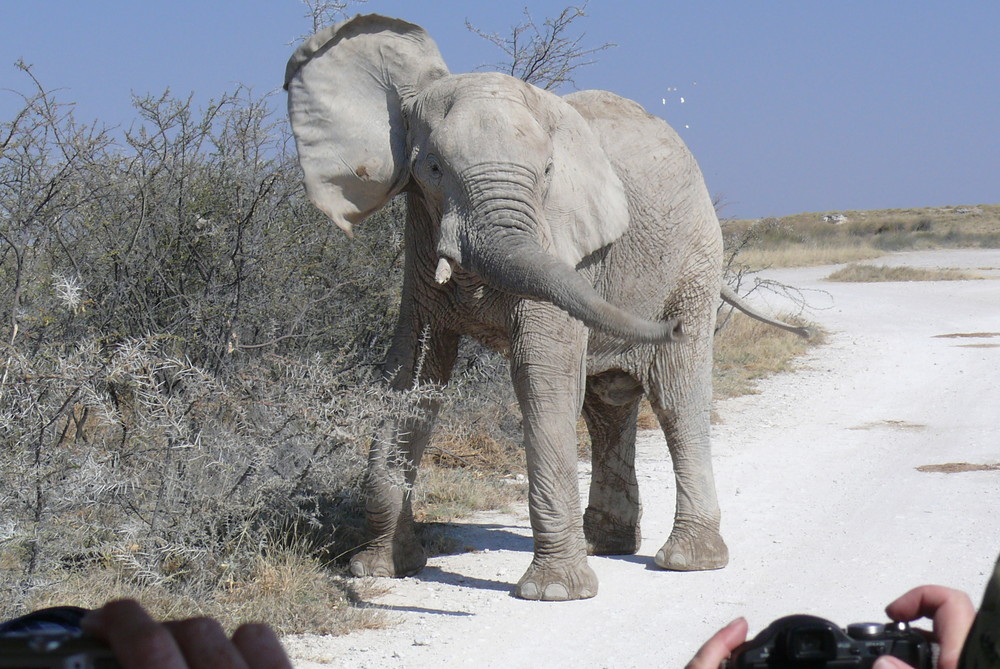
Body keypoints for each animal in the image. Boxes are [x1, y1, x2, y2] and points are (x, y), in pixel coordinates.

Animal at [286, 14, 808, 600]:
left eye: (548, 172)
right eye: (434, 168)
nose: (667, 325)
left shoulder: (566, 243)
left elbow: (543, 376)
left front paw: (555, 593)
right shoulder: (419, 242)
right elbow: (410, 373)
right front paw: (380, 569)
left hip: (696, 257)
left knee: (676, 397)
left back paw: (686, 561)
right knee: (607, 402)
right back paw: (607, 545)